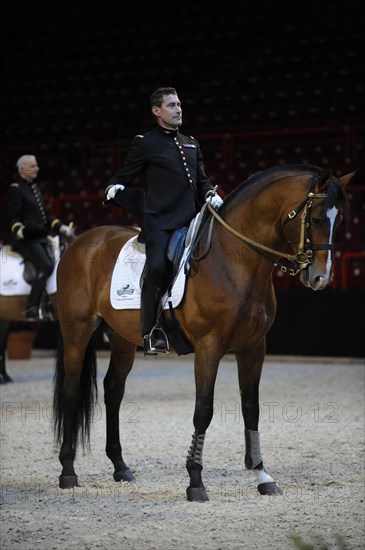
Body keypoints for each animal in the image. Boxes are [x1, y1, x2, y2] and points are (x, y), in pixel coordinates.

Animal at [52, 165, 352, 504]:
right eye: (316, 219)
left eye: (340, 219)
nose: (321, 277)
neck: (234, 260)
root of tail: (81, 242)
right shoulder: (209, 348)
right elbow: (203, 410)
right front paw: (195, 480)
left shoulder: (253, 348)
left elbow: (251, 409)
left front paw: (262, 474)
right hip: (76, 331)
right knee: (71, 391)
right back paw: (67, 471)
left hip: (122, 340)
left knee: (113, 391)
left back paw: (120, 467)